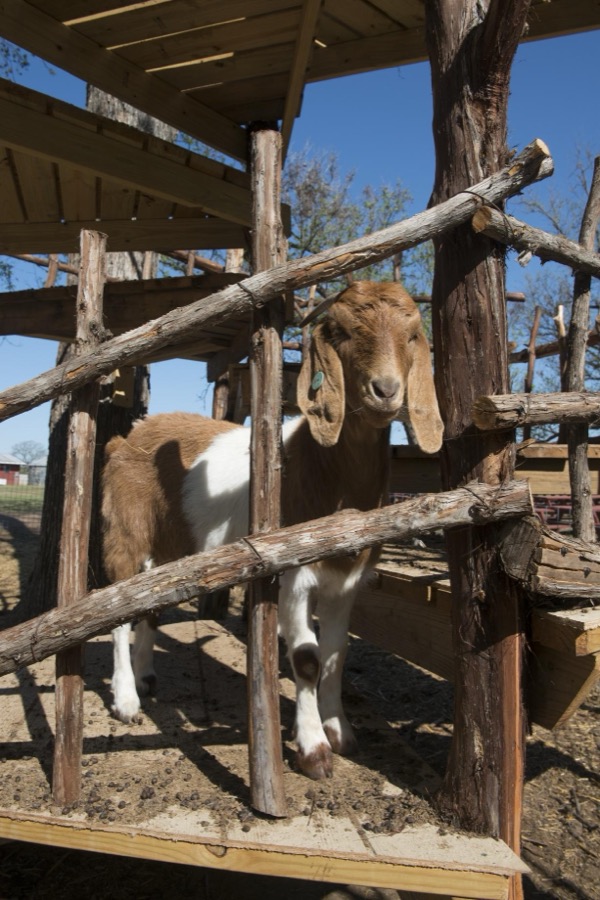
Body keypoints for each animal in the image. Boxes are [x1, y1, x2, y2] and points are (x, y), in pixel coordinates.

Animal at [102, 281, 443, 780]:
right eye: (341, 331)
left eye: (413, 333)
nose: (385, 390)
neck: (316, 468)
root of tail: (127, 435)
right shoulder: (293, 573)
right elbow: (307, 658)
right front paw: (314, 750)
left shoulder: (347, 580)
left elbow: (337, 653)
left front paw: (340, 730)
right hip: (125, 532)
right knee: (117, 609)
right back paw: (126, 699)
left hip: (171, 546)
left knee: (149, 605)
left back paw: (146, 677)